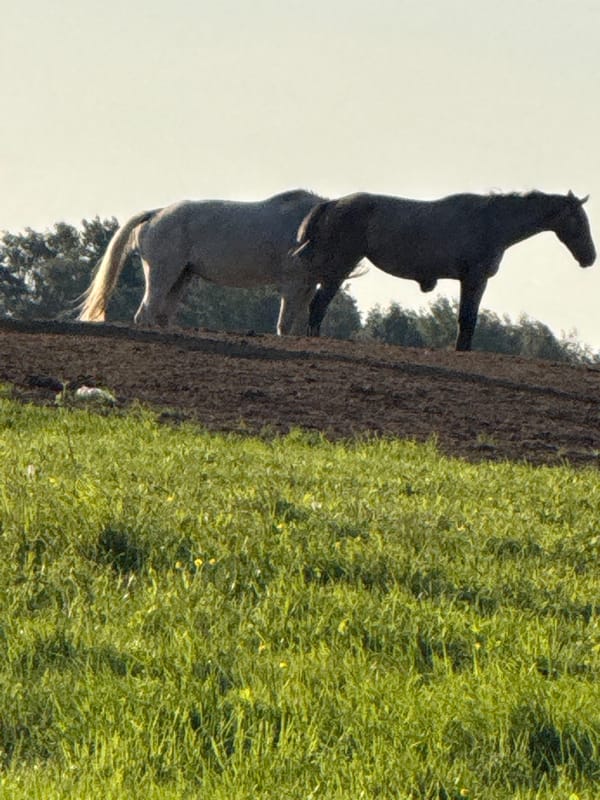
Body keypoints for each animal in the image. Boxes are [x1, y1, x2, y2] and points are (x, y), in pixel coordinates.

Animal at [78, 190, 326, 334]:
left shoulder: (307, 286)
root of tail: (155, 213)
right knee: (146, 312)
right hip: (162, 274)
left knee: (161, 314)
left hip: (181, 277)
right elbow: (285, 323)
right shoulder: (293, 283)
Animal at [293, 190, 596, 350]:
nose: (590, 258)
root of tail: (332, 203)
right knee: (318, 305)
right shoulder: (474, 279)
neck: (490, 222)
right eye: (579, 221)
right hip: (339, 267)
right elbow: (467, 319)